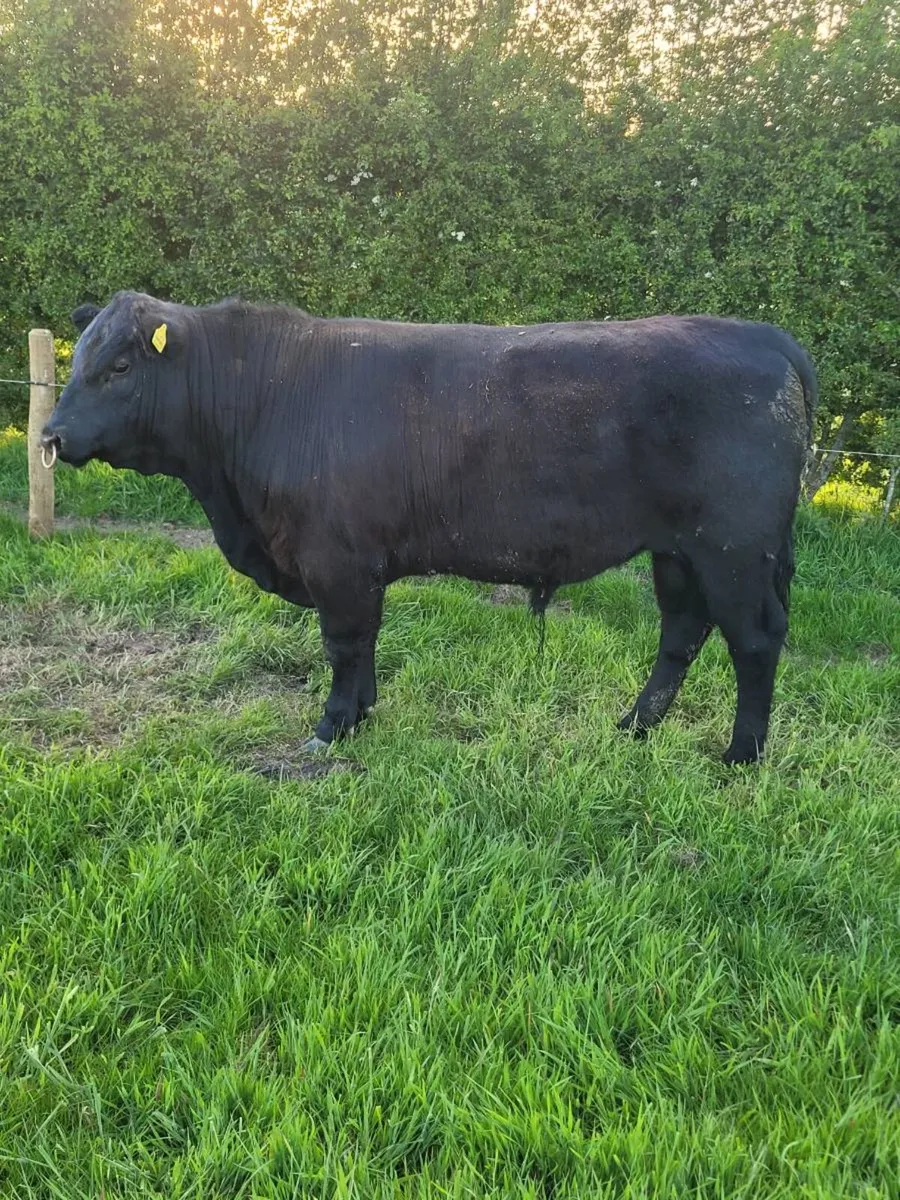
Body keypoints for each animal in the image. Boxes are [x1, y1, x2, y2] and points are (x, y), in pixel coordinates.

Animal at [41, 291, 816, 764]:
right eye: (79, 359)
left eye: (119, 365)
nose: (50, 434)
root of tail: (762, 334)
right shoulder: (358, 565)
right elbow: (364, 644)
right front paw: (362, 712)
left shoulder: (337, 560)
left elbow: (343, 643)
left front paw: (330, 728)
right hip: (678, 550)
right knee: (682, 631)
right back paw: (635, 728)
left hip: (735, 549)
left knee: (754, 640)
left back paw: (741, 755)